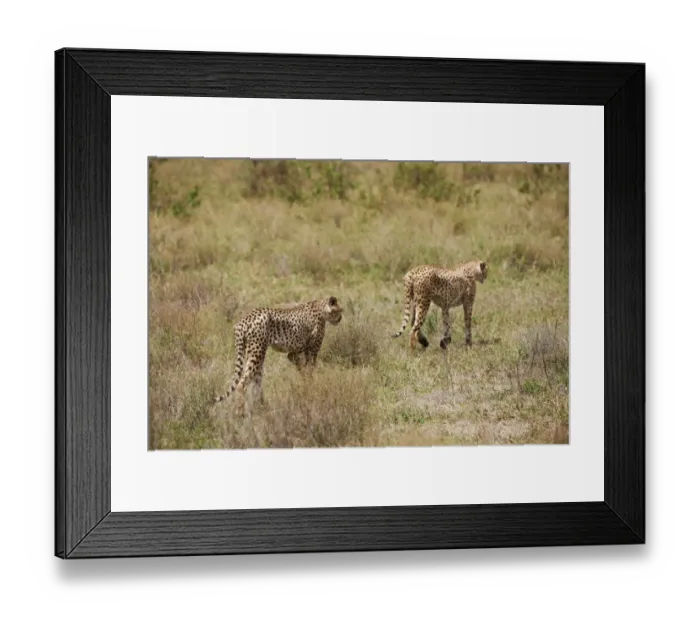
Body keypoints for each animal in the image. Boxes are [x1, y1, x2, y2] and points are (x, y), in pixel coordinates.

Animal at [214, 296, 343, 416]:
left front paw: (305, 385)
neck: (321, 308)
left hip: (256, 354)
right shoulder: (312, 351)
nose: (340, 319)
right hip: (257, 352)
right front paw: (311, 389)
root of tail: (243, 320)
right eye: (340, 310)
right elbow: (310, 370)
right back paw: (240, 412)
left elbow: (303, 369)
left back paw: (261, 408)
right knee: (242, 383)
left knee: (256, 383)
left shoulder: (295, 352)